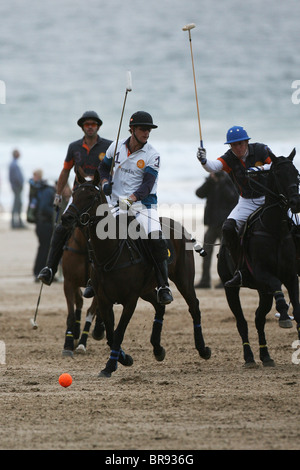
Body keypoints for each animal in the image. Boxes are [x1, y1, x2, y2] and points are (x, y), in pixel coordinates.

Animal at [61, 225, 105, 356]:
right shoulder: (68, 283)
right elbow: (71, 315)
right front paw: (68, 344)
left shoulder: (97, 287)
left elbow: (91, 312)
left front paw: (82, 344)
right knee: (79, 301)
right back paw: (75, 334)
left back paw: (98, 330)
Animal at [217, 150, 300, 368]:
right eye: (279, 174)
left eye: (296, 173)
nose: (296, 202)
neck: (275, 230)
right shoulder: (263, 273)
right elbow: (276, 282)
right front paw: (283, 313)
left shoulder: (291, 276)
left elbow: (297, 310)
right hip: (230, 287)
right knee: (242, 322)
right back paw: (249, 358)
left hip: (263, 291)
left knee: (258, 318)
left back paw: (266, 356)